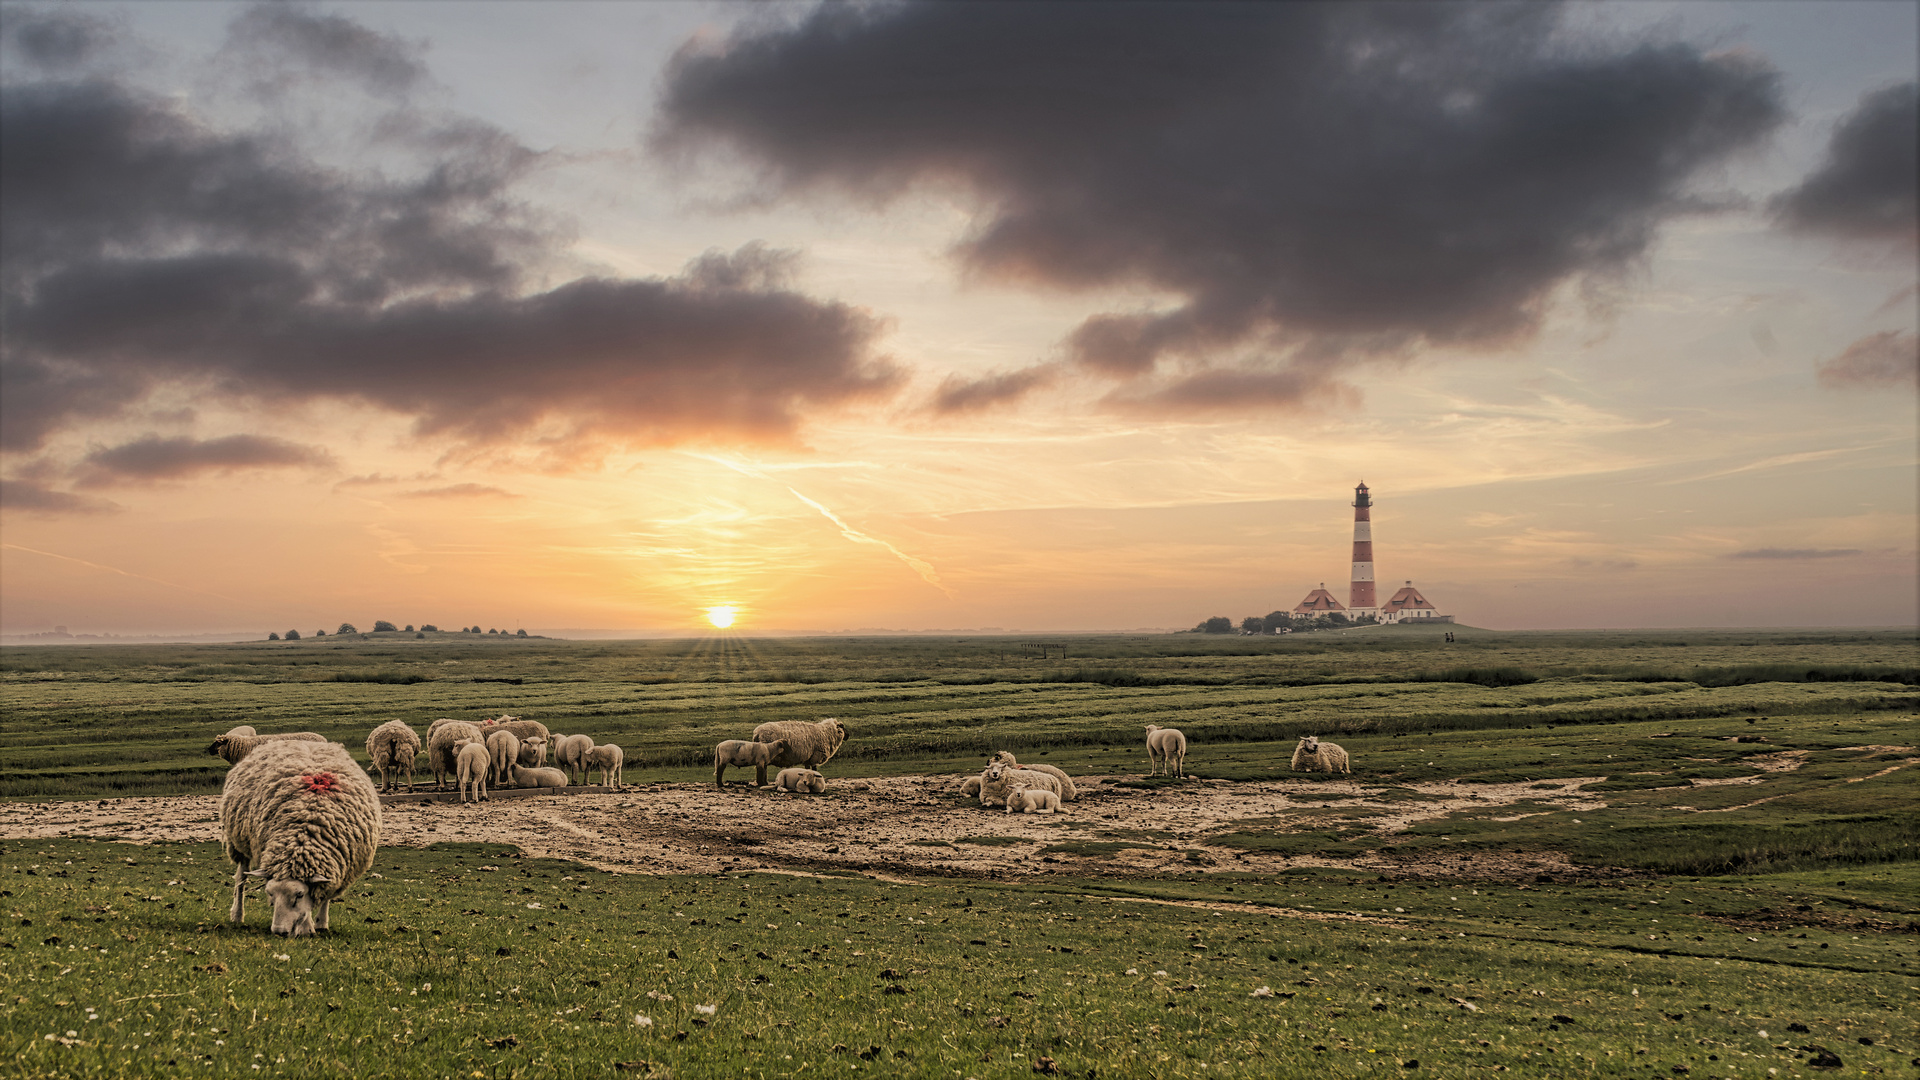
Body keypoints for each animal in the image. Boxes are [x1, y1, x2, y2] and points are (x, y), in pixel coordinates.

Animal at [219, 734, 380, 930]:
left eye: (299, 895)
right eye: (270, 894)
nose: (279, 931)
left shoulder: (336, 868)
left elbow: (322, 897)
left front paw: (319, 924)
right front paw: (306, 927)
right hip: (238, 843)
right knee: (241, 878)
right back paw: (237, 915)